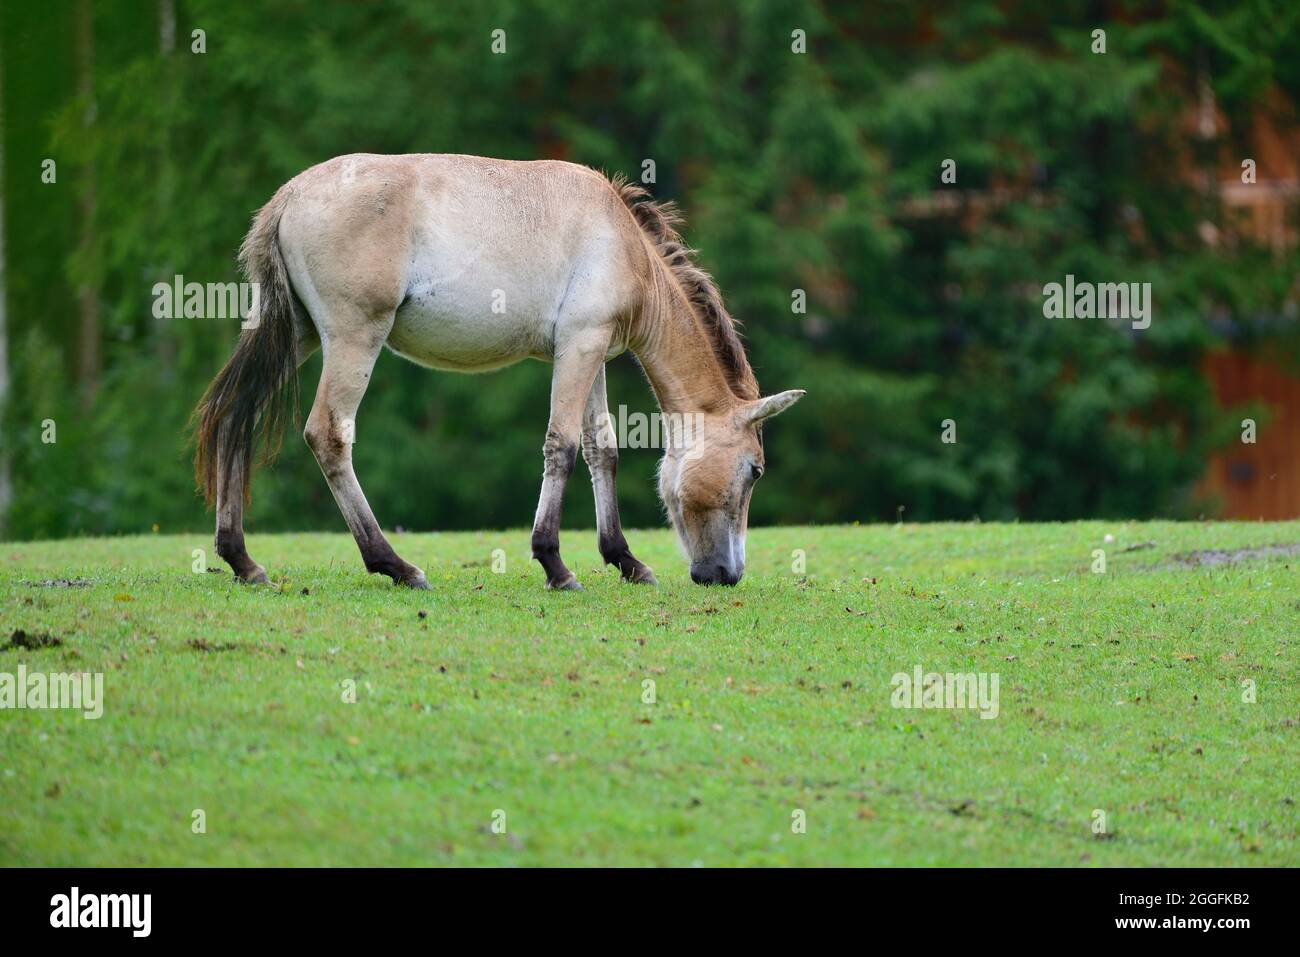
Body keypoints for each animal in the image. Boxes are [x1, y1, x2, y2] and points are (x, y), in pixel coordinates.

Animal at [191, 155, 800, 590]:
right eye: (754, 471)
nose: (726, 575)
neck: (623, 241)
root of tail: (289, 197)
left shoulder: (591, 351)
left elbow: (602, 449)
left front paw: (625, 561)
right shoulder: (579, 347)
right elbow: (562, 446)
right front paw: (555, 566)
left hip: (295, 335)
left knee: (234, 416)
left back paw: (242, 561)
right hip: (352, 338)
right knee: (328, 435)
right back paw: (395, 565)